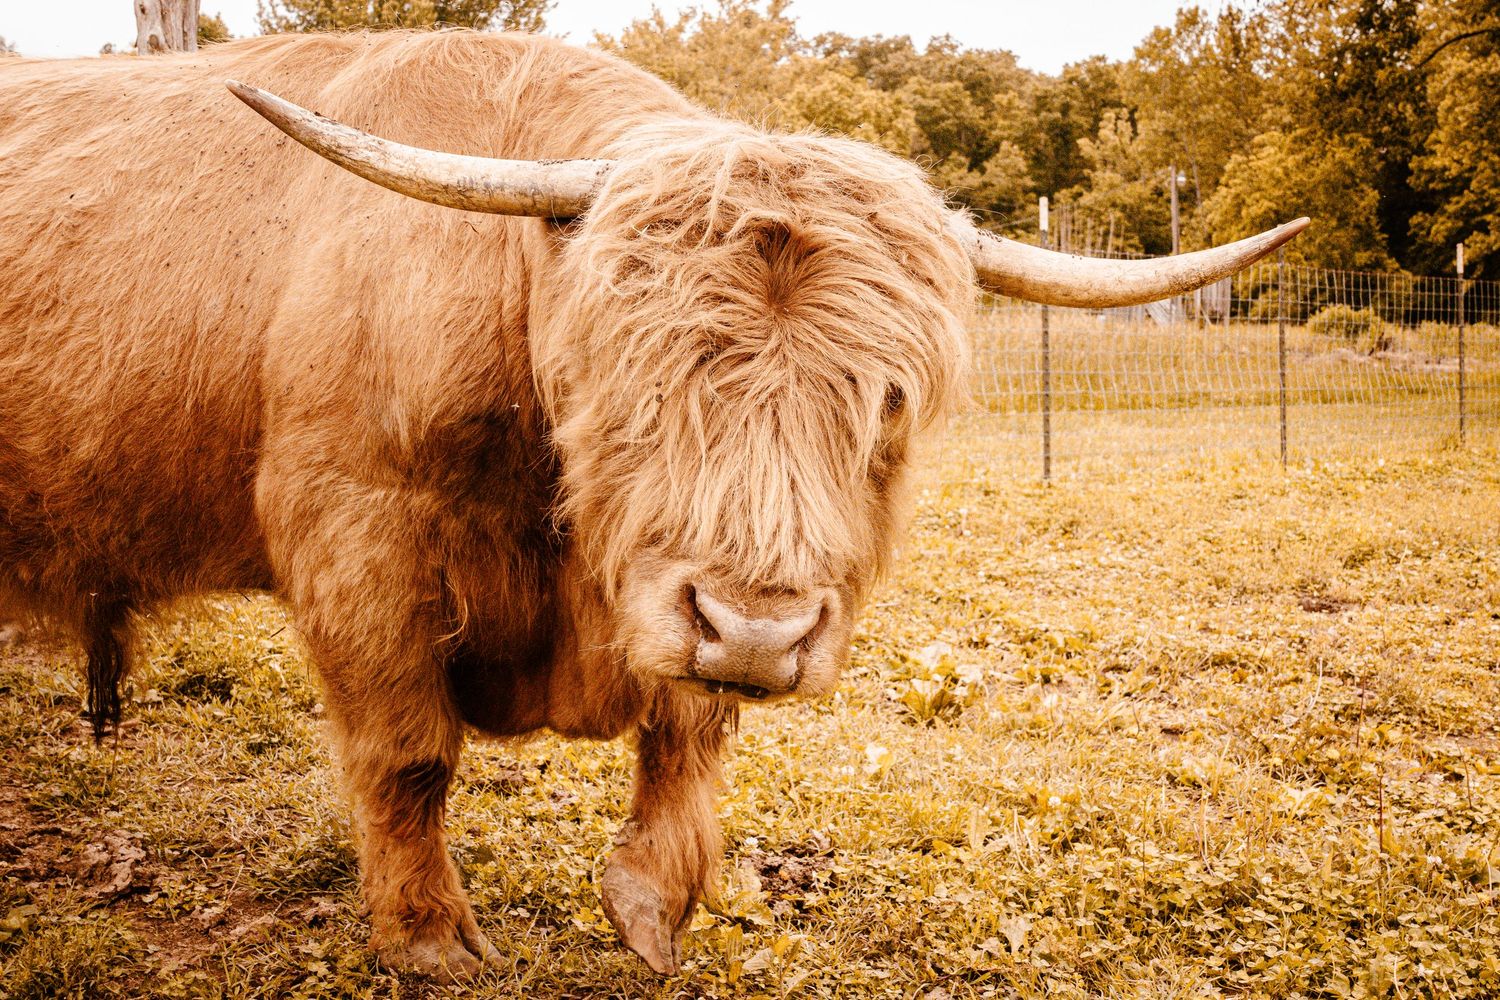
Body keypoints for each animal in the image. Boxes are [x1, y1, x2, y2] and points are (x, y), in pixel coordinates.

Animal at [0, 30, 1306, 979]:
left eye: (886, 399)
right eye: (647, 374)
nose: (764, 629)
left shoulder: (677, 594)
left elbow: (690, 735)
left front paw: (652, 905)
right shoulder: (355, 532)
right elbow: (411, 756)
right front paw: (429, 938)